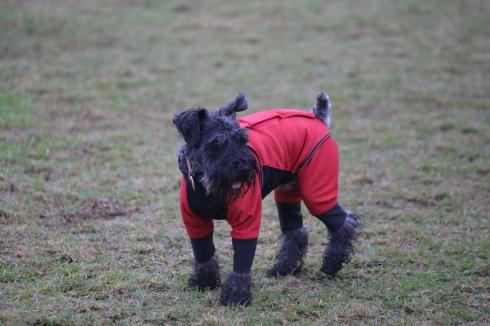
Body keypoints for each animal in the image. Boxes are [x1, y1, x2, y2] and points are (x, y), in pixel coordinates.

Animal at [174, 91, 362, 306]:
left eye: (242, 140)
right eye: (216, 142)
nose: (244, 168)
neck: (204, 183)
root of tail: (318, 117)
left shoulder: (247, 222)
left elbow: (242, 263)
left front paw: (236, 295)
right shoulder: (195, 222)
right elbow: (203, 253)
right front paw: (204, 282)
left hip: (317, 194)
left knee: (344, 223)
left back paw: (331, 265)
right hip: (288, 194)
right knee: (295, 231)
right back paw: (285, 268)